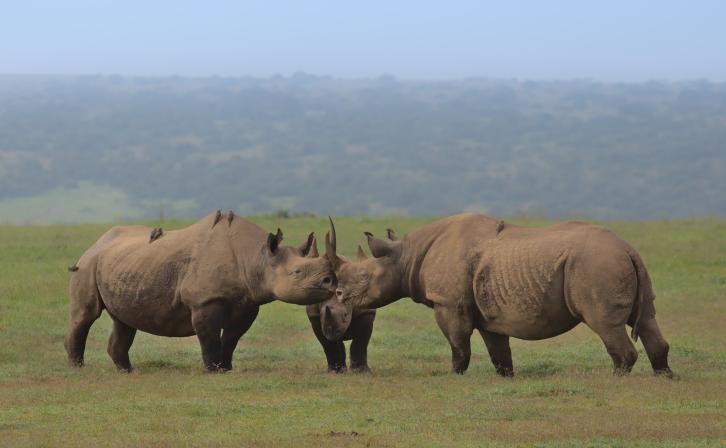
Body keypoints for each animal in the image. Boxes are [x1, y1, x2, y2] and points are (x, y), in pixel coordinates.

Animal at [65, 210, 336, 372]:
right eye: (297, 272)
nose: (331, 281)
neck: (256, 256)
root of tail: (97, 243)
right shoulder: (205, 301)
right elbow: (209, 337)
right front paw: (212, 370)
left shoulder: (248, 303)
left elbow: (231, 338)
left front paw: (226, 368)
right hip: (88, 263)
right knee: (86, 315)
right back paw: (77, 367)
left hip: (123, 264)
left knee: (123, 321)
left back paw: (127, 371)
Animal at [327, 213, 673, 378]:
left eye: (356, 282)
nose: (337, 299)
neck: (404, 256)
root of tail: (628, 248)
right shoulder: (488, 314)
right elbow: (498, 352)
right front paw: (507, 377)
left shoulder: (449, 303)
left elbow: (458, 345)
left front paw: (454, 376)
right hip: (615, 262)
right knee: (648, 319)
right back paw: (665, 377)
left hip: (595, 264)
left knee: (605, 325)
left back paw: (616, 378)